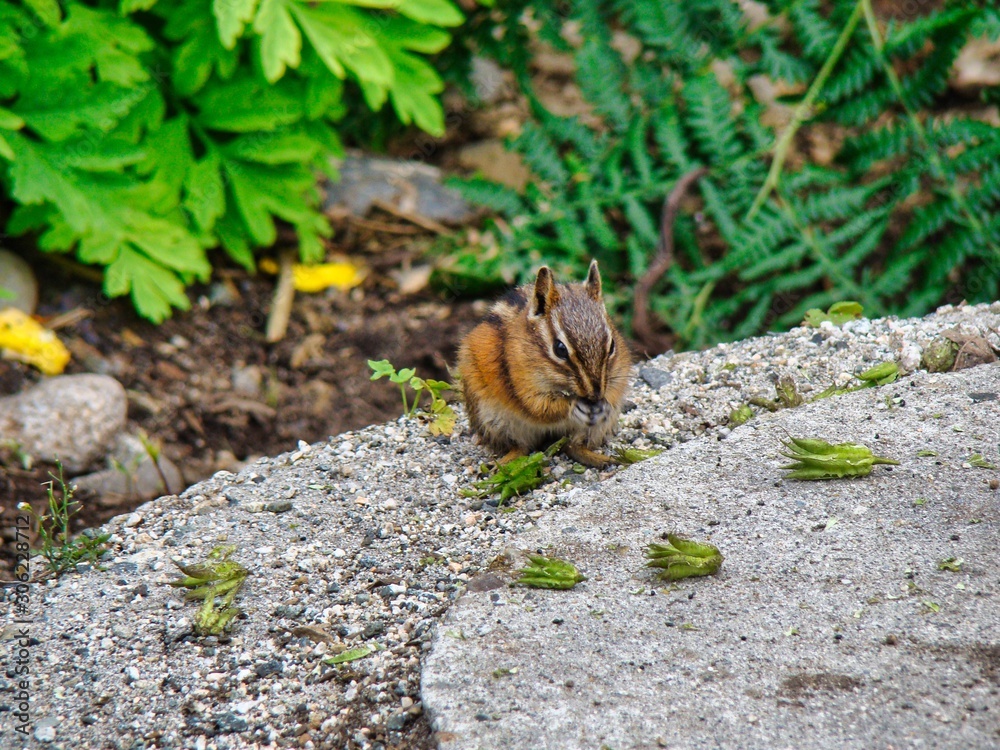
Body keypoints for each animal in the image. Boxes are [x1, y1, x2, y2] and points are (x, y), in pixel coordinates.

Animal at [457, 260, 632, 468]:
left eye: (612, 345)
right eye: (560, 349)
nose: (595, 394)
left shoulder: (617, 374)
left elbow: (613, 391)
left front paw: (604, 405)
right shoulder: (522, 382)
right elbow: (538, 407)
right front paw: (573, 406)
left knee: (574, 446)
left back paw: (603, 459)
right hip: (493, 419)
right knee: (521, 447)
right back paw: (501, 463)